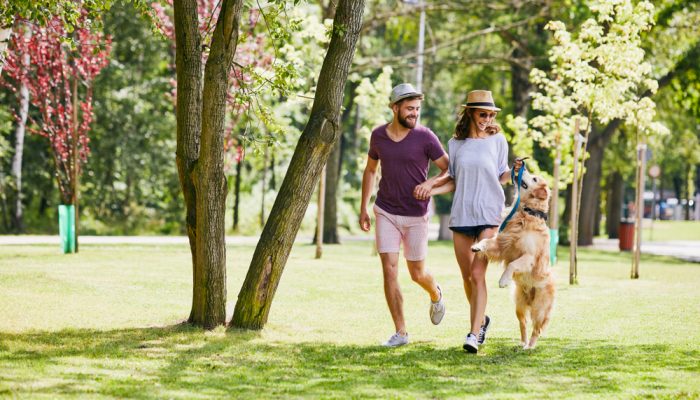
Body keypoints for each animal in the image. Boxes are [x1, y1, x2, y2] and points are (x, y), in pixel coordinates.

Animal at [474, 170, 556, 348]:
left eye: (534, 178)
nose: (521, 169)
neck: (527, 211)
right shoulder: (502, 243)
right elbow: (487, 241)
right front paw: (477, 246)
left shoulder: (529, 257)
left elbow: (512, 264)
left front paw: (503, 280)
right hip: (519, 304)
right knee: (523, 323)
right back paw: (522, 343)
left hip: (540, 307)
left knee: (537, 329)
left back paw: (530, 346)